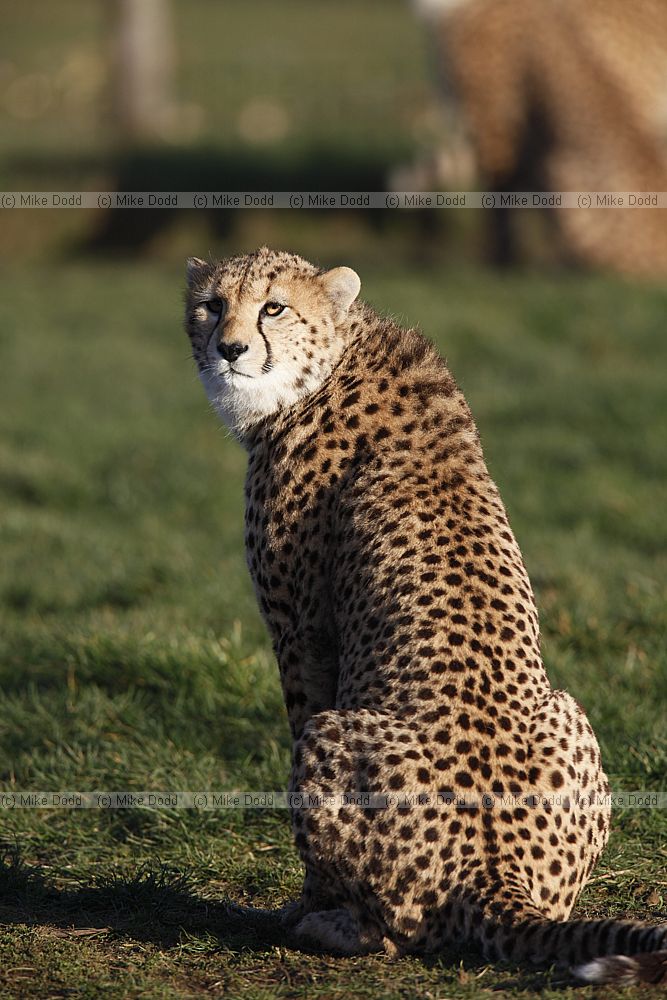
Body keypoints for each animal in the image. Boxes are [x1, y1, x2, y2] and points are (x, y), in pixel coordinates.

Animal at [184, 246, 667, 985]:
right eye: (211, 305)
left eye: (273, 307)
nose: (229, 348)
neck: (328, 365)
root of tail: (496, 875)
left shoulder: (300, 631)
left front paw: (302, 904)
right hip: (571, 710)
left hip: (332, 734)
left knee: (394, 932)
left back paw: (327, 925)